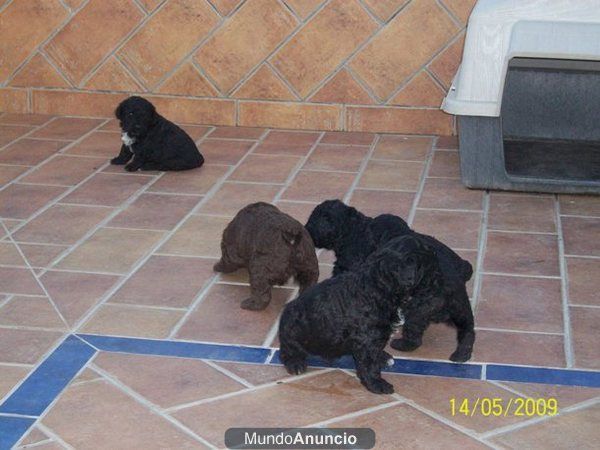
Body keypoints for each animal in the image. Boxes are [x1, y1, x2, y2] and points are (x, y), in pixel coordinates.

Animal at [278, 236, 442, 394]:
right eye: (429, 271)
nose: (439, 286)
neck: (379, 286)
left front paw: (381, 359)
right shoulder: (367, 338)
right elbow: (369, 364)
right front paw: (377, 384)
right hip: (291, 331)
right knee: (287, 350)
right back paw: (295, 363)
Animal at [308, 200, 476, 362]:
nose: (306, 229)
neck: (353, 229)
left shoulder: (348, 264)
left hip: (417, 311)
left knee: (414, 334)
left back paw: (401, 344)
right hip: (462, 311)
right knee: (468, 331)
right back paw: (462, 355)